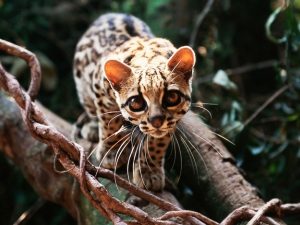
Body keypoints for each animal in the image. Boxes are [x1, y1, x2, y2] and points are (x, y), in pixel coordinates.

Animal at [73, 12, 196, 192]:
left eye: (172, 97)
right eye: (136, 103)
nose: (156, 121)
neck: (149, 60)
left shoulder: (174, 119)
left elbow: (158, 141)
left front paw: (150, 170)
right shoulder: (100, 90)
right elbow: (109, 122)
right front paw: (111, 152)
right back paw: (94, 127)